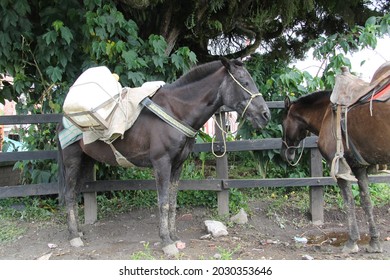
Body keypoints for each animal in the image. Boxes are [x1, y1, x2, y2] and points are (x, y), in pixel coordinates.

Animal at [58, 59, 272, 256]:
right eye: (244, 82)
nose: (266, 115)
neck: (176, 111)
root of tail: (63, 119)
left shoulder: (178, 166)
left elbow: (172, 201)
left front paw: (174, 236)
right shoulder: (162, 164)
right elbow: (163, 202)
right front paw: (166, 242)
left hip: (86, 161)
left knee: (74, 193)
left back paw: (77, 231)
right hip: (72, 160)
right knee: (69, 194)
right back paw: (74, 237)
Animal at [282, 89, 390, 254]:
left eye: (282, 124)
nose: (284, 153)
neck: (327, 114)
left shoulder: (340, 170)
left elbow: (349, 202)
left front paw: (352, 241)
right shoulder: (359, 168)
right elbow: (366, 201)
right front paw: (374, 241)